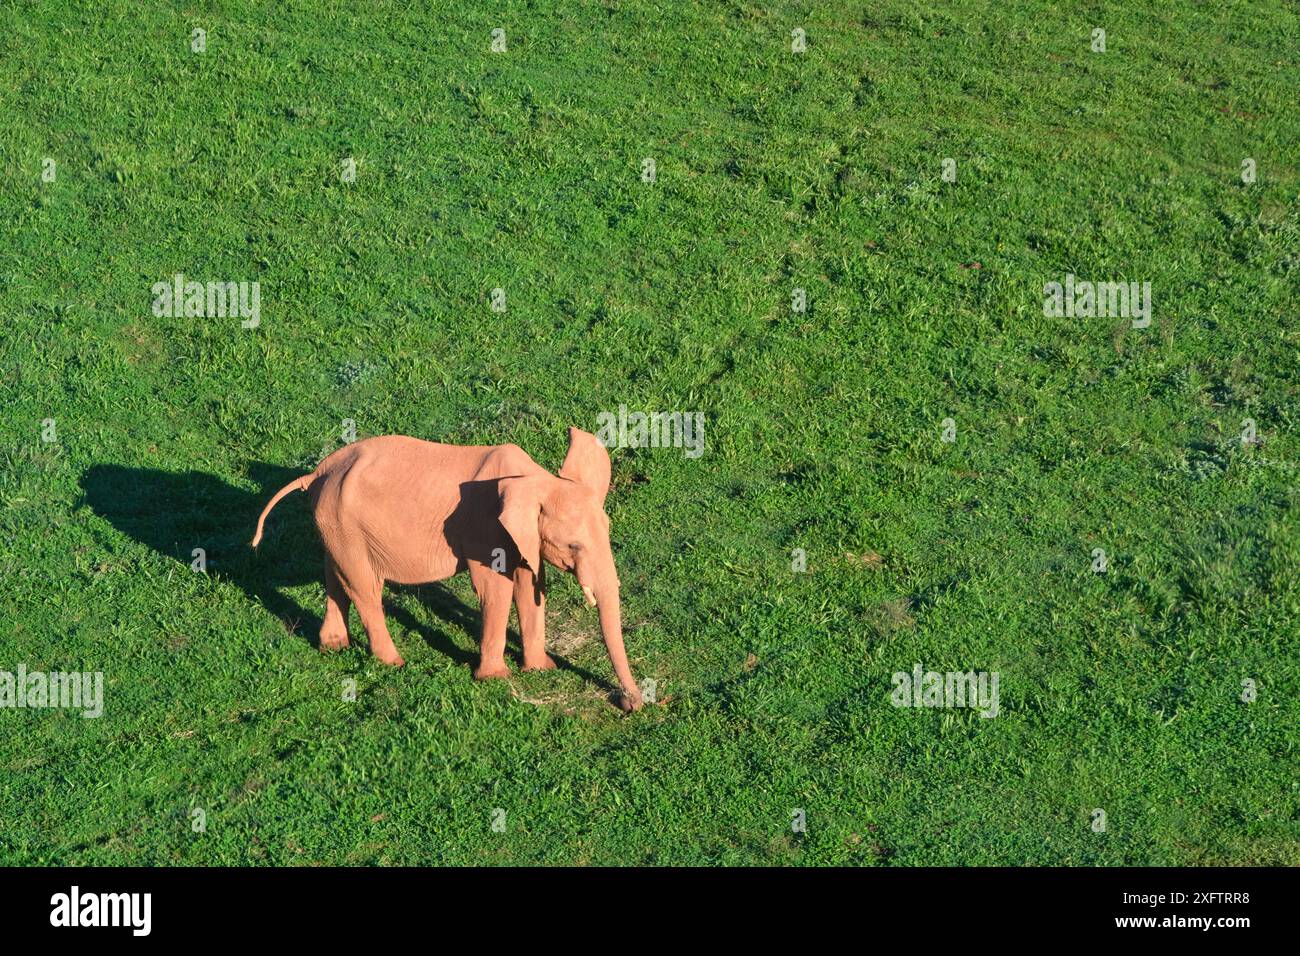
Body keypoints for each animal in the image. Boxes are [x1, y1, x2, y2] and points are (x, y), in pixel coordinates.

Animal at [249, 426, 644, 712]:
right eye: (574, 546)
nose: (629, 703)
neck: (535, 480)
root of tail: (320, 470)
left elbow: (530, 583)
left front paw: (540, 669)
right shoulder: (485, 528)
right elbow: (496, 589)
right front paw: (494, 678)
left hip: (335, 523)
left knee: (336, 575)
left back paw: (333, 647)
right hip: (342, 521)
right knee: (364, 587)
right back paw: (394, 662)